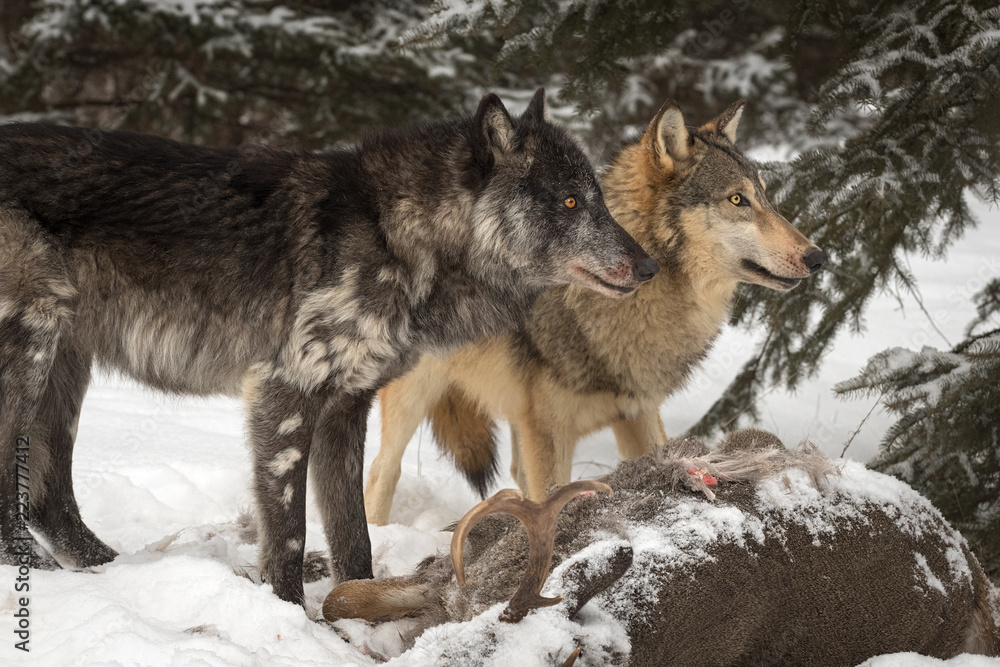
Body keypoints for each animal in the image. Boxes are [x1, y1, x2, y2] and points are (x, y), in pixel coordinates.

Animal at [0, 89, 658, 605]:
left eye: (598, 198)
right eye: (569, 201)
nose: (650, 266)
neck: (394, 236)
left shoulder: (346, 407)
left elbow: (352, 533)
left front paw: (355, 603)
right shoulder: (285, 394)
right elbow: (290, 535)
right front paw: (289, 612)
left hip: (66, 367)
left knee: (49, 501)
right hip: (32, 351)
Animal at [365, 99, 827, 524]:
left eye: (765, 197)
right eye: (737, 199)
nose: (818, 257)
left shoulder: (638, 414)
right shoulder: (548, 432)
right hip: (413, 396)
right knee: (380, 473)